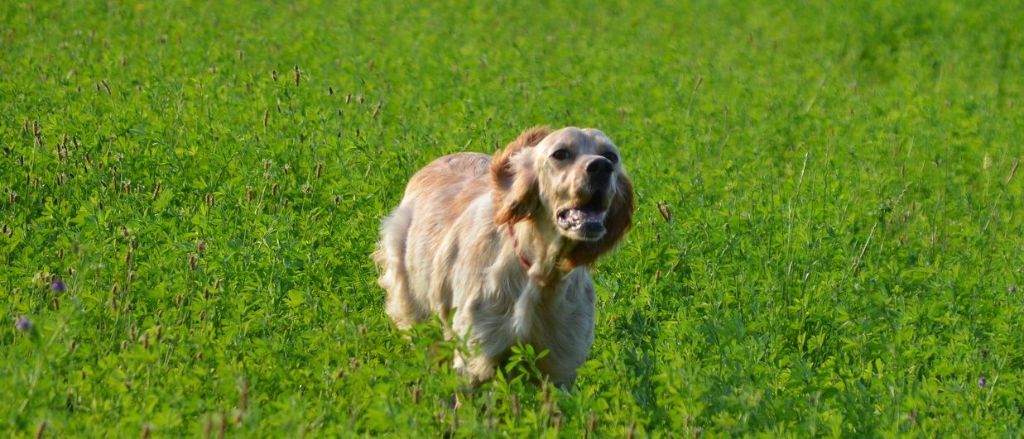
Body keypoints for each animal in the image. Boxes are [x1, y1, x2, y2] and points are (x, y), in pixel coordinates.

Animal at [376, 125, 630, 382]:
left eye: (611, 156)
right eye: (560, 153)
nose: (601, 167)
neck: (542, 274)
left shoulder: (560, 369)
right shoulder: (476, 358)